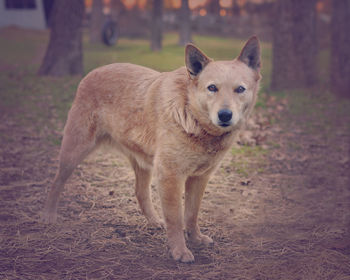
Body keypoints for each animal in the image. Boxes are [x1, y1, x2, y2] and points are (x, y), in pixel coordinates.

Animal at [42, 36, 262, 262]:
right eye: (212, 88)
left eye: (240, 89)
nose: (225, 115)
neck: (192, 117)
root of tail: (93, 72)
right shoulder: (170, 175)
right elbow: (176, 218)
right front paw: (179, 250)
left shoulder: (199, 177)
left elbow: (192, 214)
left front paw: (195, 239)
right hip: (74, 152)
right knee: (56, 182)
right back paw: (49, 215)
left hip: (143, 163)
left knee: (140, 192)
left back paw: (155, 221)